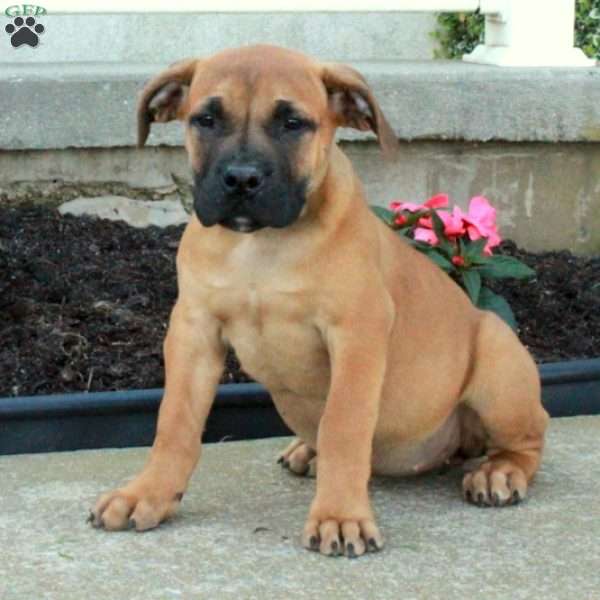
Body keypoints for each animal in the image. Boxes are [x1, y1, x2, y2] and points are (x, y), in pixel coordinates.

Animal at [89, 45, 548, 556]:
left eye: (293, 123)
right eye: (206, 119)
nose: (241, 179)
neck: (261, 246)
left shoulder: (356, 335)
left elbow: (343, 425)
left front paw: (340, 516)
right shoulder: (194, 331)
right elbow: (175, 421)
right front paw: (147, 492)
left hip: (498, 357)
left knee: (530, 437)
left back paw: (499, 472)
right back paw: (305, 450)